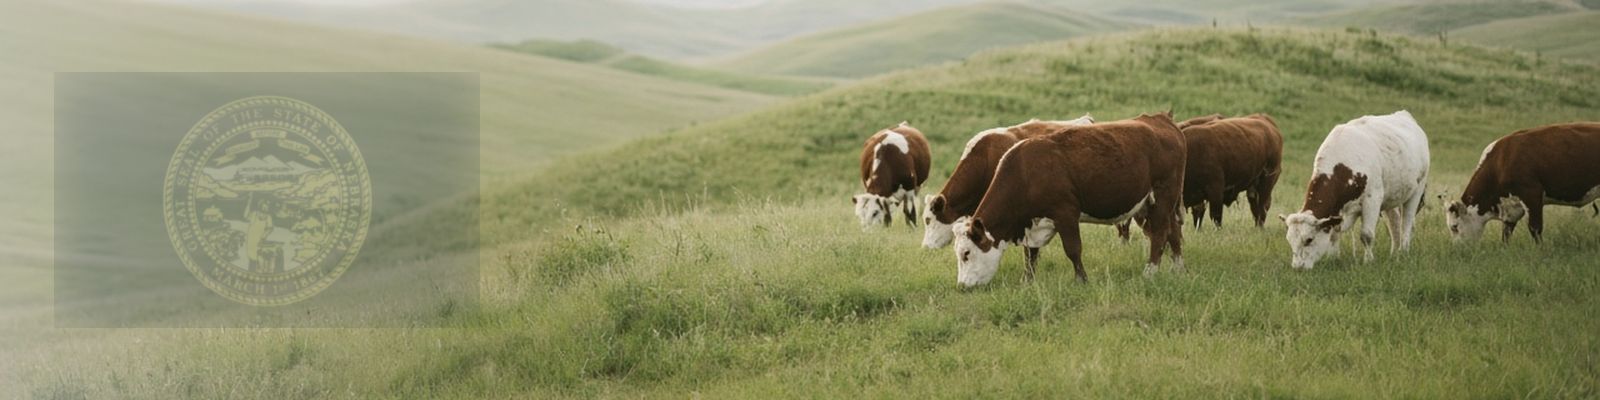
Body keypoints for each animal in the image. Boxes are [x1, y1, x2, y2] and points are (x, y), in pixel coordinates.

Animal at [952, 112, 1187, 288]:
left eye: (966, 253)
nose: (962, 286)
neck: (1026, 172)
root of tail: (1161, 119)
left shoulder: (1065, 213)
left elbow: (1073, 249)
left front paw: (1082, 280)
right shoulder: (1033, 223)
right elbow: (1030, 255)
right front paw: (1027, 282)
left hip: (1163, 196)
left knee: (1160, 233)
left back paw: (1150, 271)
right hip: (1157, 202)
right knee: (1173, 230)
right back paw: (1177, 267)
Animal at [1280, 110, 1429, 270]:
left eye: (1309, 239)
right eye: (1289, 240)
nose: (1298, 267)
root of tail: (1404, 115)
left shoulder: (1373, 199)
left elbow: (1366, 235)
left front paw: (1368, 261)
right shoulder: (1338, 210)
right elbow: (1335, 233)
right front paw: (1333, 258)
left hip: (1417, 188)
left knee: (1407, 223)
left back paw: (1403, 251)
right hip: (1392, 196)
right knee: (1394, 222)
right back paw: (1394, 253)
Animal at [1444, 122, 1600, 243]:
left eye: (1454, 226)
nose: (1458, 250)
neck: (1501, 162)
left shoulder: (1532, 194)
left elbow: (1535, 228)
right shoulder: (1510, 207)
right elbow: (1506, 232)